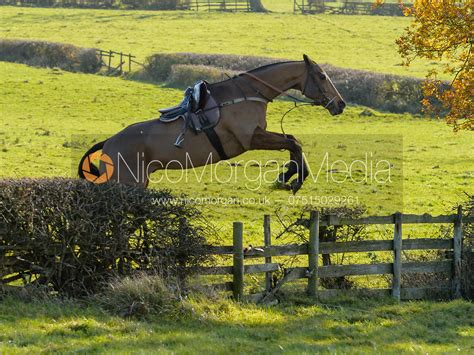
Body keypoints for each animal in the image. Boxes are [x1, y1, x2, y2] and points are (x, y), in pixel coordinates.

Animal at [78, 55, 344, 195]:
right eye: (322, 76)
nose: (340, 104)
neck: (251, 93)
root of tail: (108, 143)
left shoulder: (257, 136)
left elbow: (291, 140)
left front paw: (287, 174)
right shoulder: (250, 139)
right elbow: (293, 142)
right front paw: (295, 178)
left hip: (139, 182)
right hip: (126, 183)